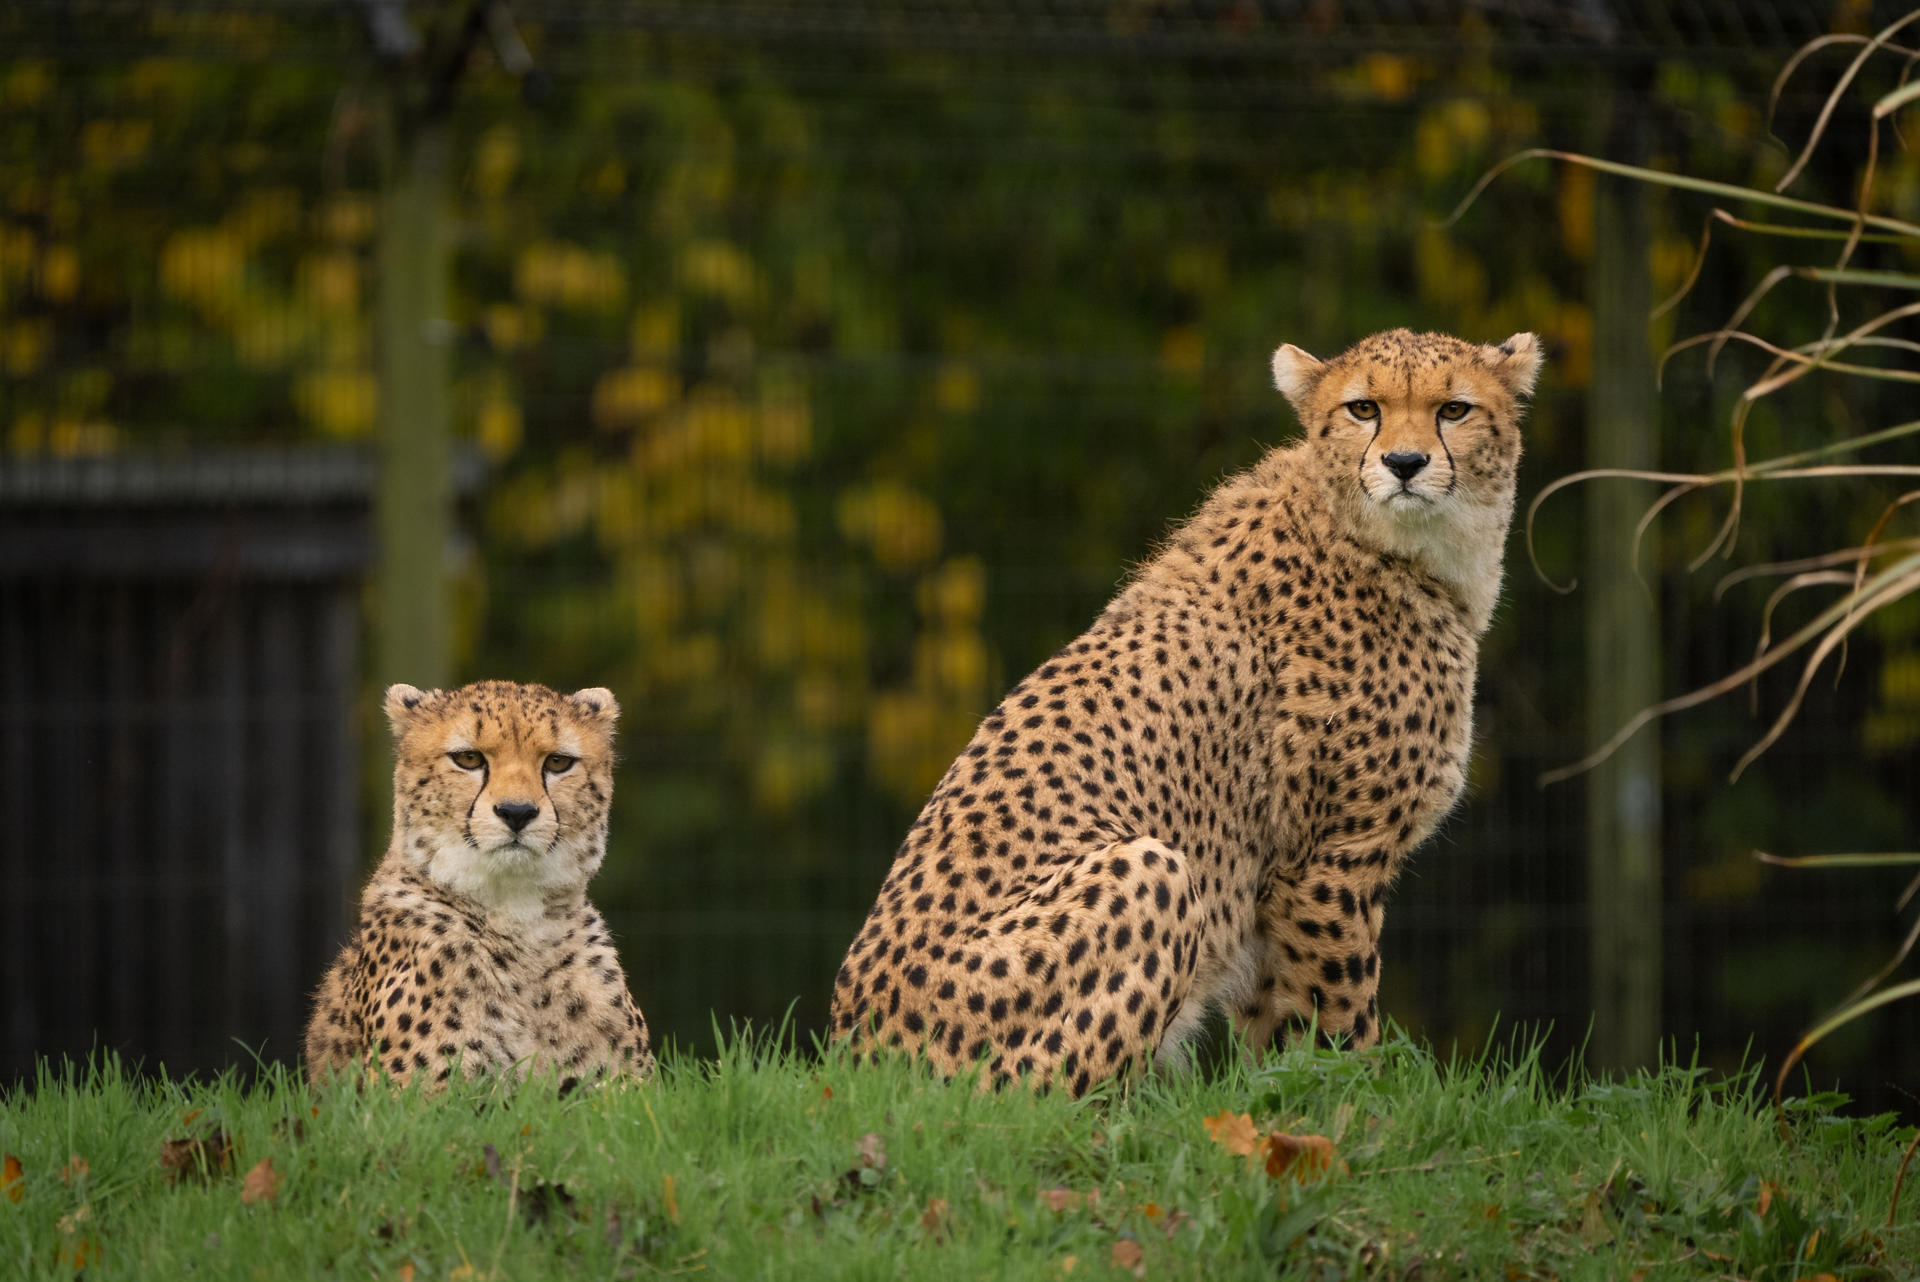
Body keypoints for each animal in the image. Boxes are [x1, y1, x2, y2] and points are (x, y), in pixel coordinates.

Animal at [304, 679, 654, 1090]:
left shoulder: (629, 1088)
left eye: (557, 762)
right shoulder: (422, 1095)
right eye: (469, 759)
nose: (517, 812)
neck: (519, 917)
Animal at [829, 328, 1542, 1096]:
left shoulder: (1270, 891)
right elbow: (1341, 1022)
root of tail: (852, 1058)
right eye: (1363, 409)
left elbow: (1277, 1037)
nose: (1404, 464)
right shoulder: (1327, 862)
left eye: (1453, 409)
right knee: (1036, 1101)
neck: (1393, 544)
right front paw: (1362, 1101)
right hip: (1149, 869)